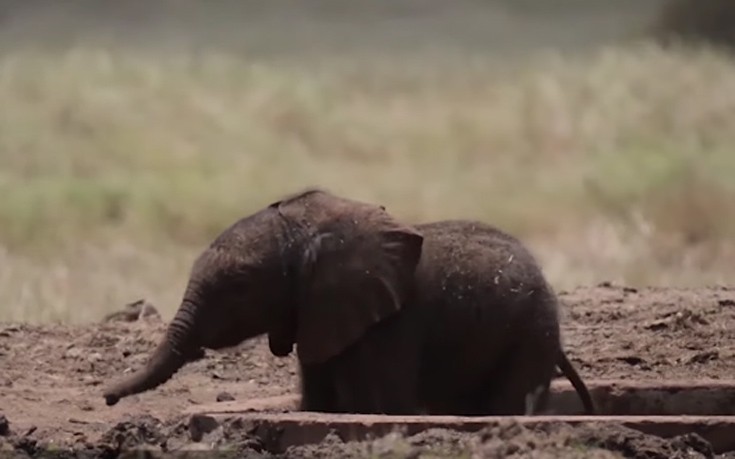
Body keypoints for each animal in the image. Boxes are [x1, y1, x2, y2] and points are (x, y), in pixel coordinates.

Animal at [103, 190, 596, 416]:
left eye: (239, 286)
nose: (105, 397)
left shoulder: (393, 324)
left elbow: (384, 406)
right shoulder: (321, 313)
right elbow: (318, 401)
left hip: (531, 331)